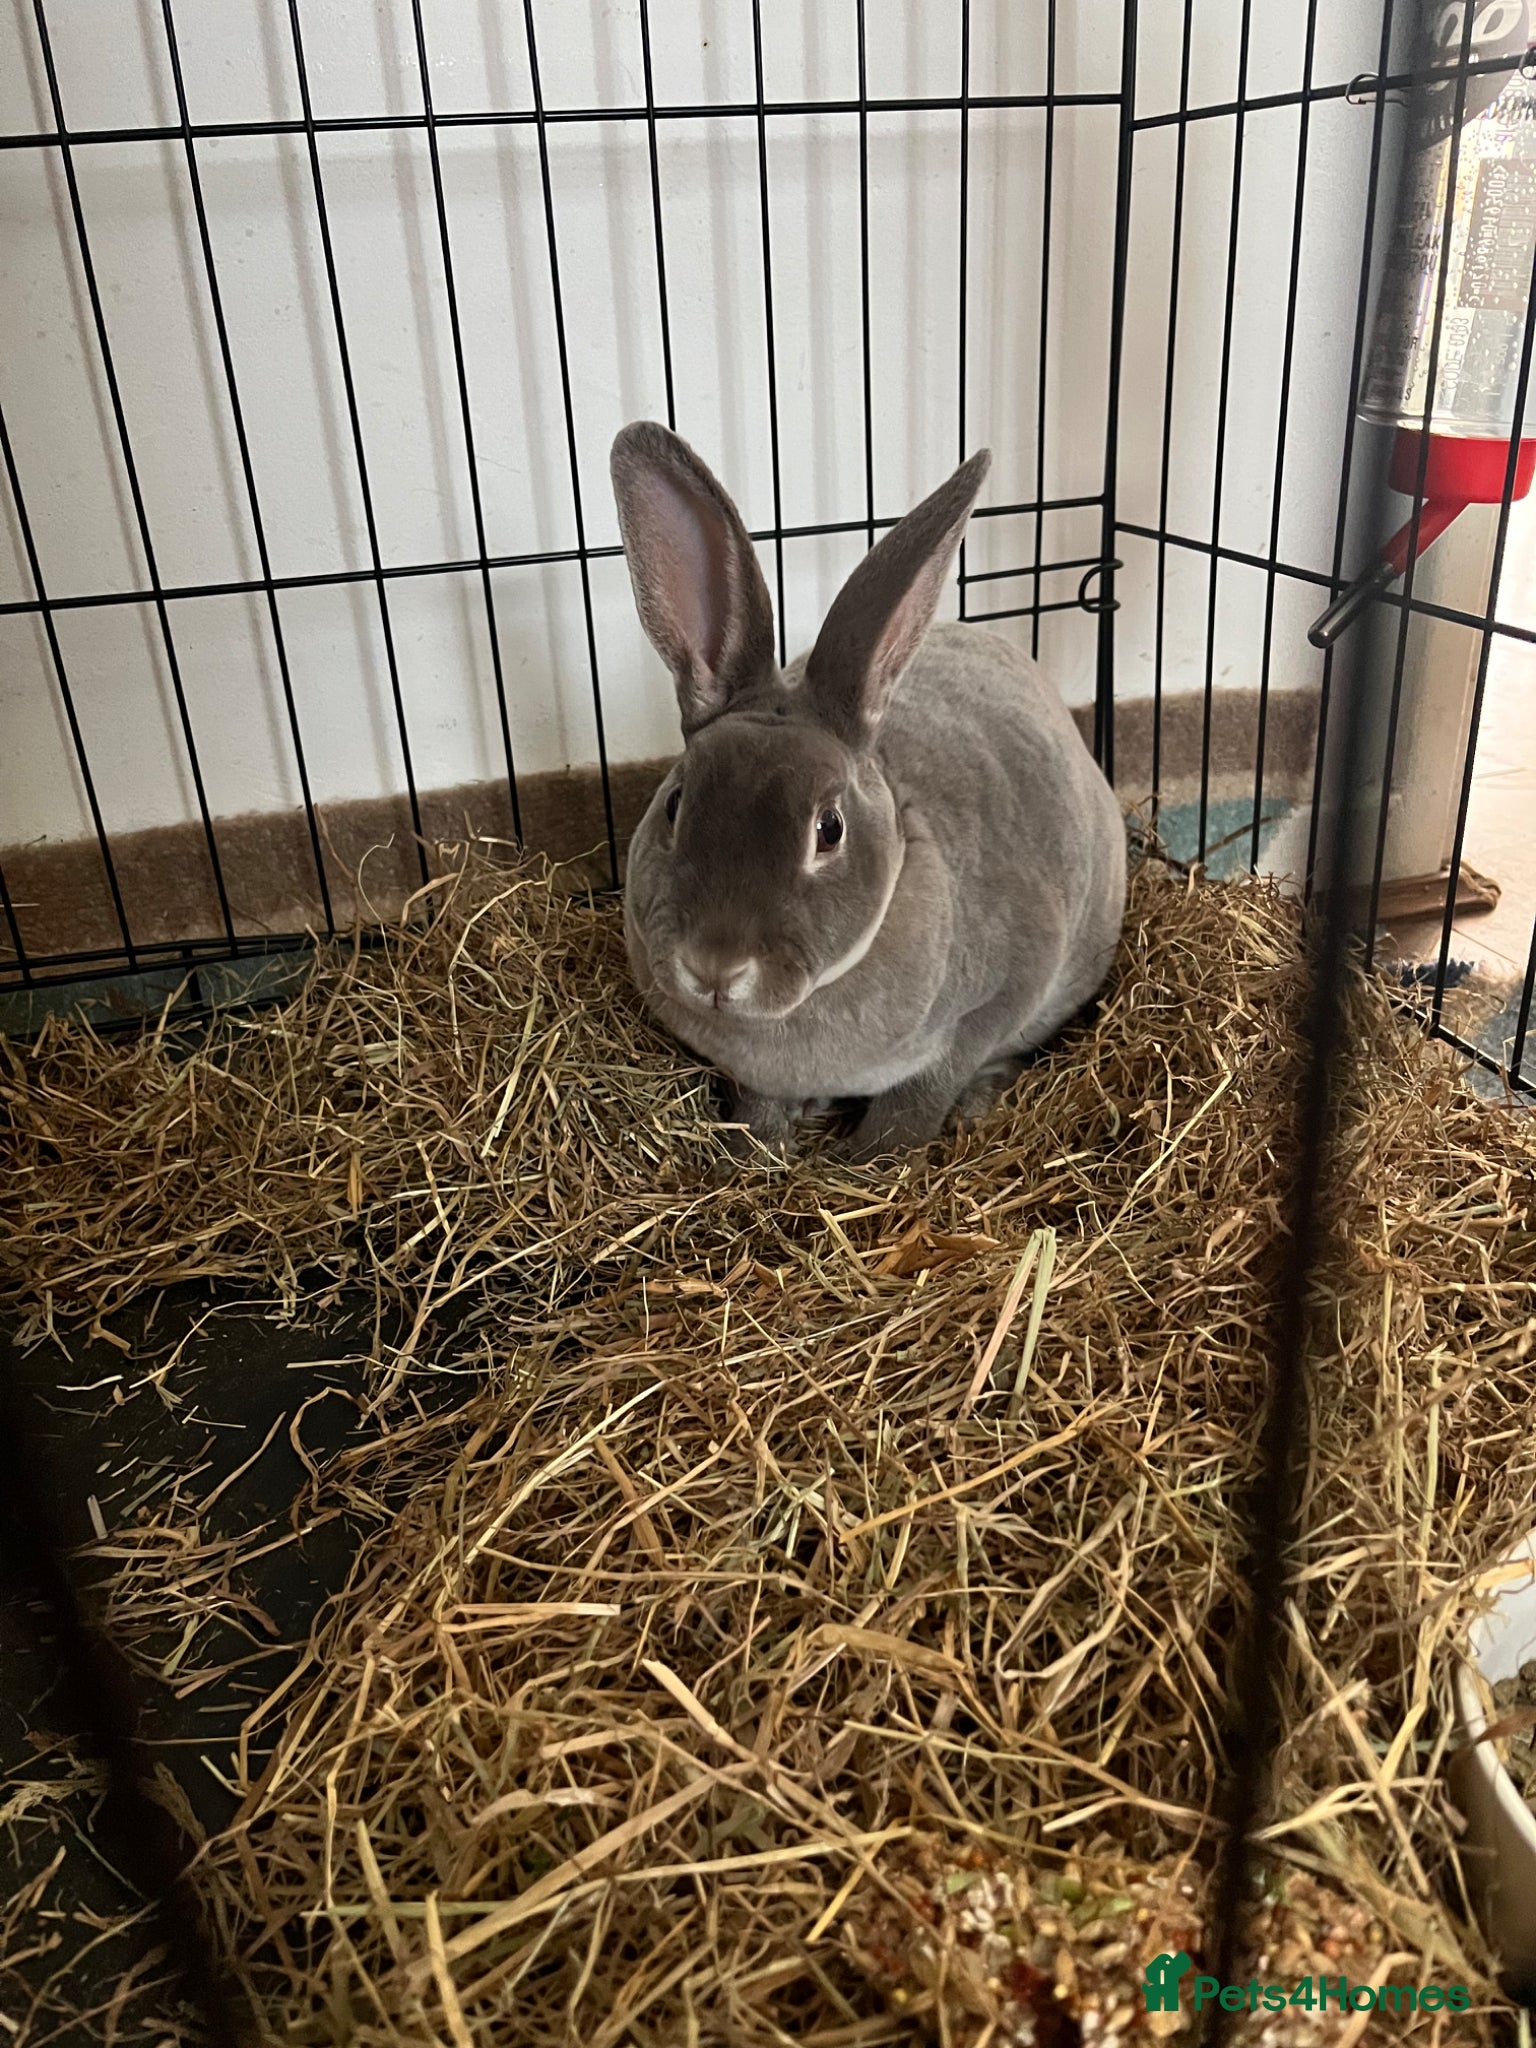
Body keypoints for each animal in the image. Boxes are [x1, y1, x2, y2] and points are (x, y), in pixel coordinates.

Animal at [611, 421, 1128, 1163]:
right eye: (676, 805)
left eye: (829, 829)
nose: (713, 968)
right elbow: (759, 1099)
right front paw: (759, 1147)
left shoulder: (1002, 993)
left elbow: (922, 1094)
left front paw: (871, 1160)